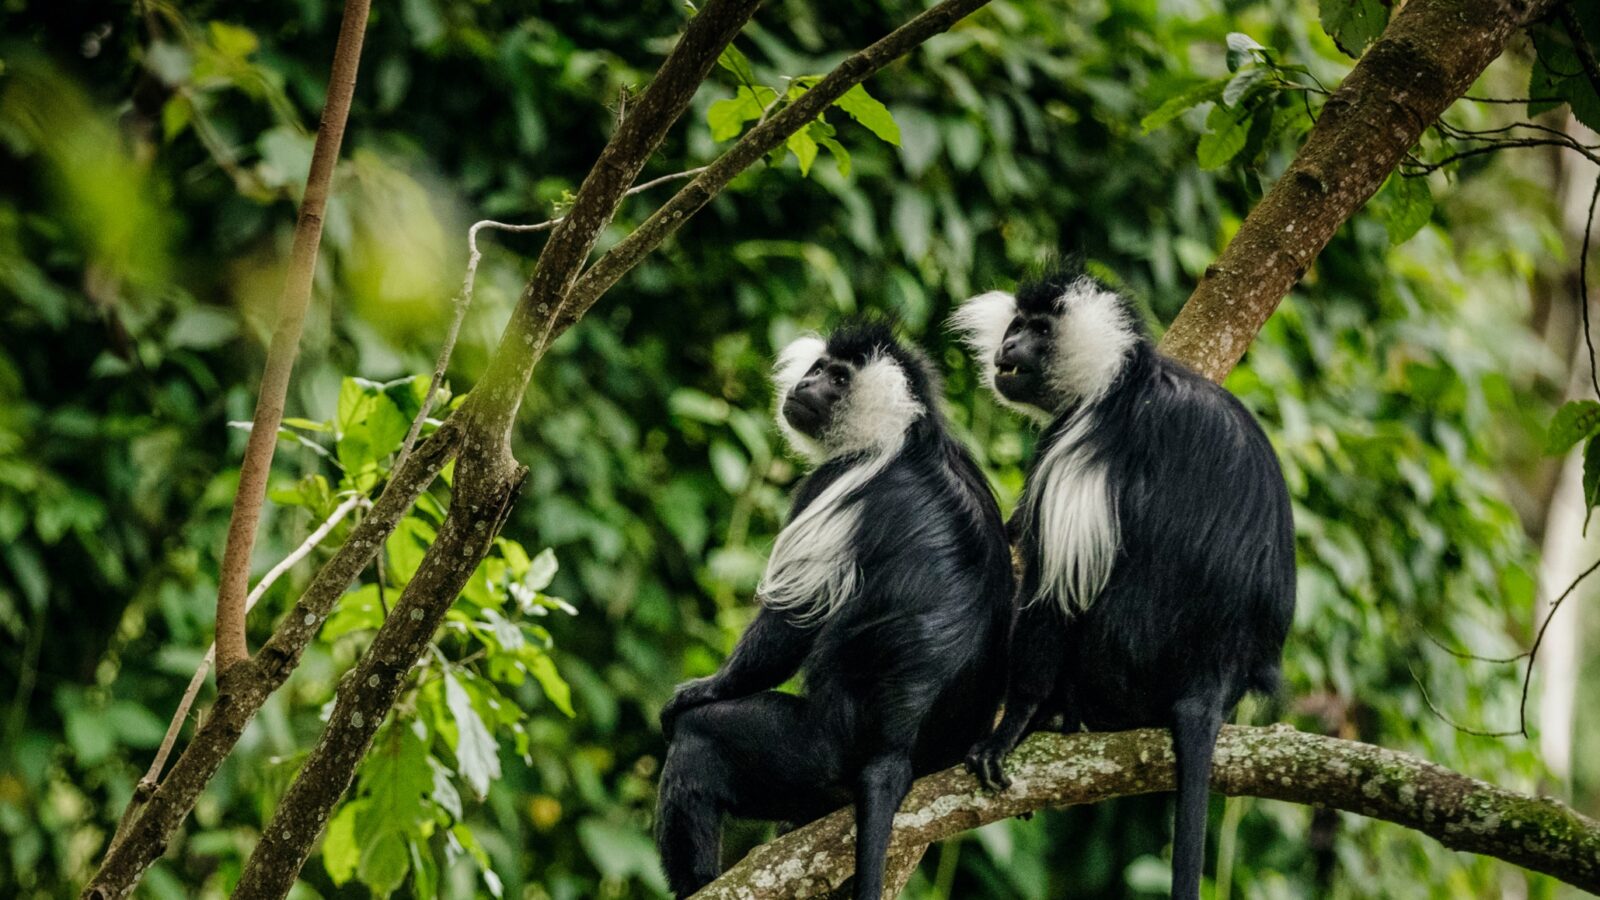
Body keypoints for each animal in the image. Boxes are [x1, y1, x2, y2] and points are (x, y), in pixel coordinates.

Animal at [655, 323, 1013, 900]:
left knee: (700, 744)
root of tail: (895, 747)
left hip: (808, 753)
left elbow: (790, 622)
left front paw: (699, 691)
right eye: (819, 367)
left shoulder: (833, 484)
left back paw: (699, 881)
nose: (805, 383)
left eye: (838, 379)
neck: (905, 436)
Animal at [949, 265, 1295, 900]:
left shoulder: (1078, 445)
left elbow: (1054, 594)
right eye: (1015, 326)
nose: (1008, 348)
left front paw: (1013, 725)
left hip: (1117, 665)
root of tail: (1212, 675)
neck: (1117, 377)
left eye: (1038, 331)